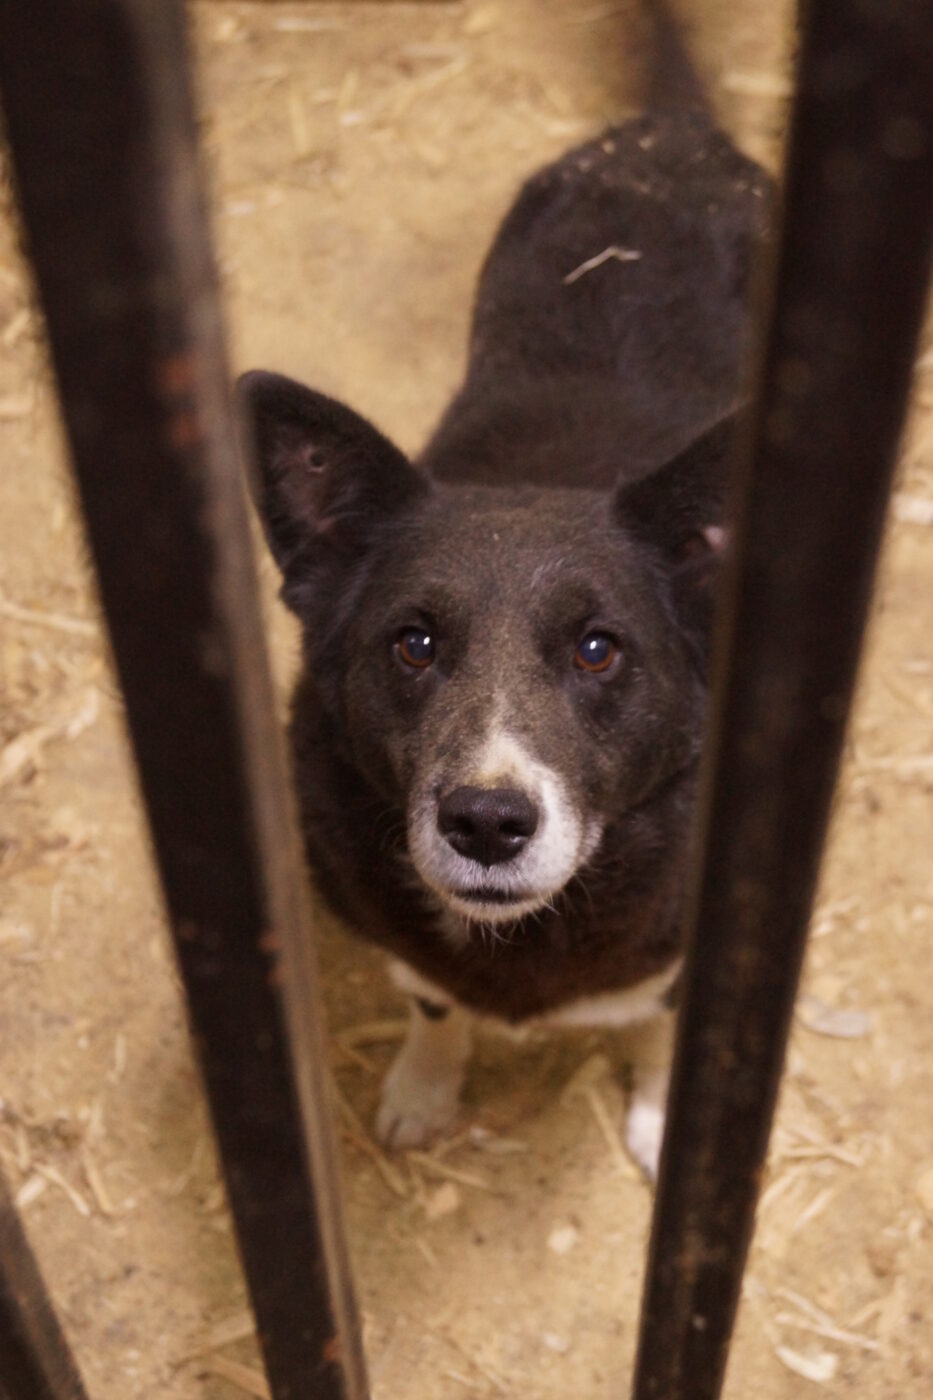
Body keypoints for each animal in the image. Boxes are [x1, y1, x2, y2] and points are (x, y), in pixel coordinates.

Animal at [239, 24, 767, 1181]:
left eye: (599, 648)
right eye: (413, 642)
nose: (485, 822)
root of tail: (670, 133)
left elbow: (658, 1016)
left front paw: (660, 1114)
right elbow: (435, 1004)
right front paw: (424, 1088)